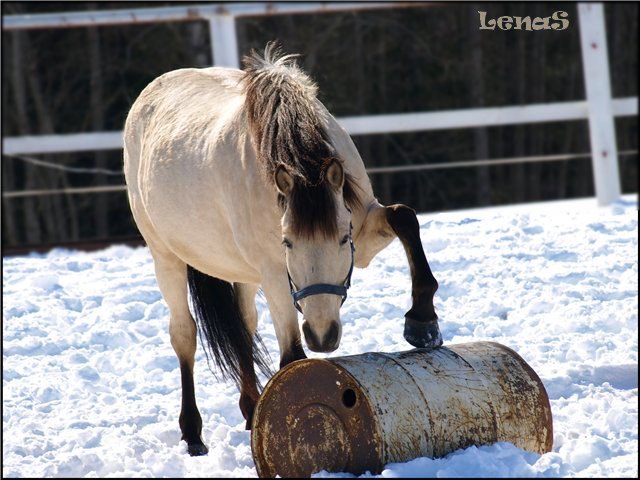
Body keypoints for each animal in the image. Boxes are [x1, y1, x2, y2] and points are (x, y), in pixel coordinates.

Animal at [123, 43, 442, 456]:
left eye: (343, 238)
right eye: (287, 241)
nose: (323, 335)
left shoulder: (364, 226)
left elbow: (405, 218)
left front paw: (423, 323)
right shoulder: (274, 273)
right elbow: (291, 355)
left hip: (239, 270)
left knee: (243, 326)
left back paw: (250, 409)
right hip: (167, 257)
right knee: (184, 335)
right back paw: (193, 433)